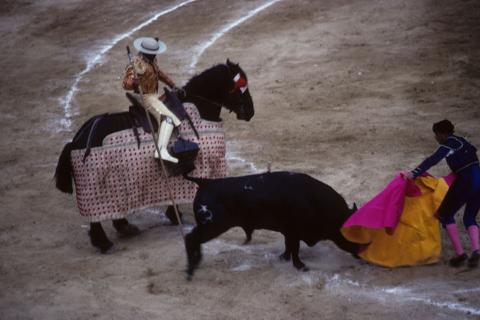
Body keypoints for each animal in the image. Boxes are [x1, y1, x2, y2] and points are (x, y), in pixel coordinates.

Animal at [55, 60, 255, 252]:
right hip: (99, 186)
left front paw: (175, 216)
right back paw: (105, 244)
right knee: (95, 217)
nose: (251, 112)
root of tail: (78, 138)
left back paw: (125, 228)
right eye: (240, 88)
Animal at [184, 170, 360, 278]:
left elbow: (289, 246)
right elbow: (295, 249)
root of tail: (204, 182)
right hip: (212, 226)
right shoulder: (294, 231)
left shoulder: (289, 232)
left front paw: (284, 258)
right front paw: (300, 266)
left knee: (192, 239)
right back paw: (191, 270)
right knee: (190, 238)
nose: (361, 255)